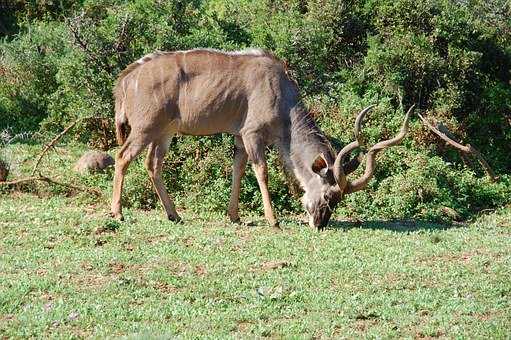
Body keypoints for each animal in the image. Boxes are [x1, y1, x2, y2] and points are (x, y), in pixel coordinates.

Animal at [110, 48, 414, 228]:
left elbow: (238, 169)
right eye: (329, 196)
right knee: (122, 156)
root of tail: (126, 79)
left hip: (165, 132)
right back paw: (118, 213)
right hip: (145, 128)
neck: (282, 96)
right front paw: (273, 220)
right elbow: (262, 171)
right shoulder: (252, 134)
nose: (319, 223)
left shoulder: (238, 139)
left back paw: (174, 215)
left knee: (152, 165)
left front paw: (234, 216)